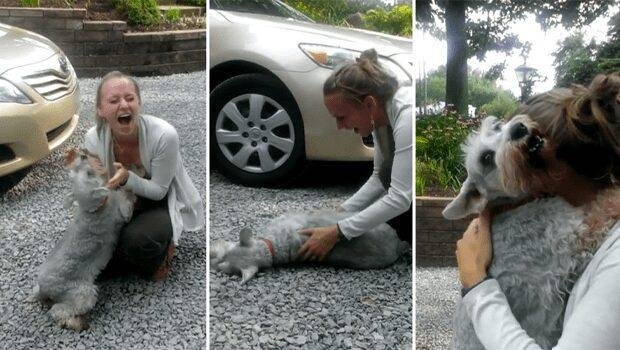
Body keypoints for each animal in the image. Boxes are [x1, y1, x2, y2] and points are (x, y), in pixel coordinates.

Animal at [30, 148, 134, 330]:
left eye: (75, 172)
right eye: (89, 173)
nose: (83, 154)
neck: (94, 208)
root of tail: (43, 289)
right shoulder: (121, 213)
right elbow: (123, 200)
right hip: (83, 293)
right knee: (59, 311)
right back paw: (77, 323)